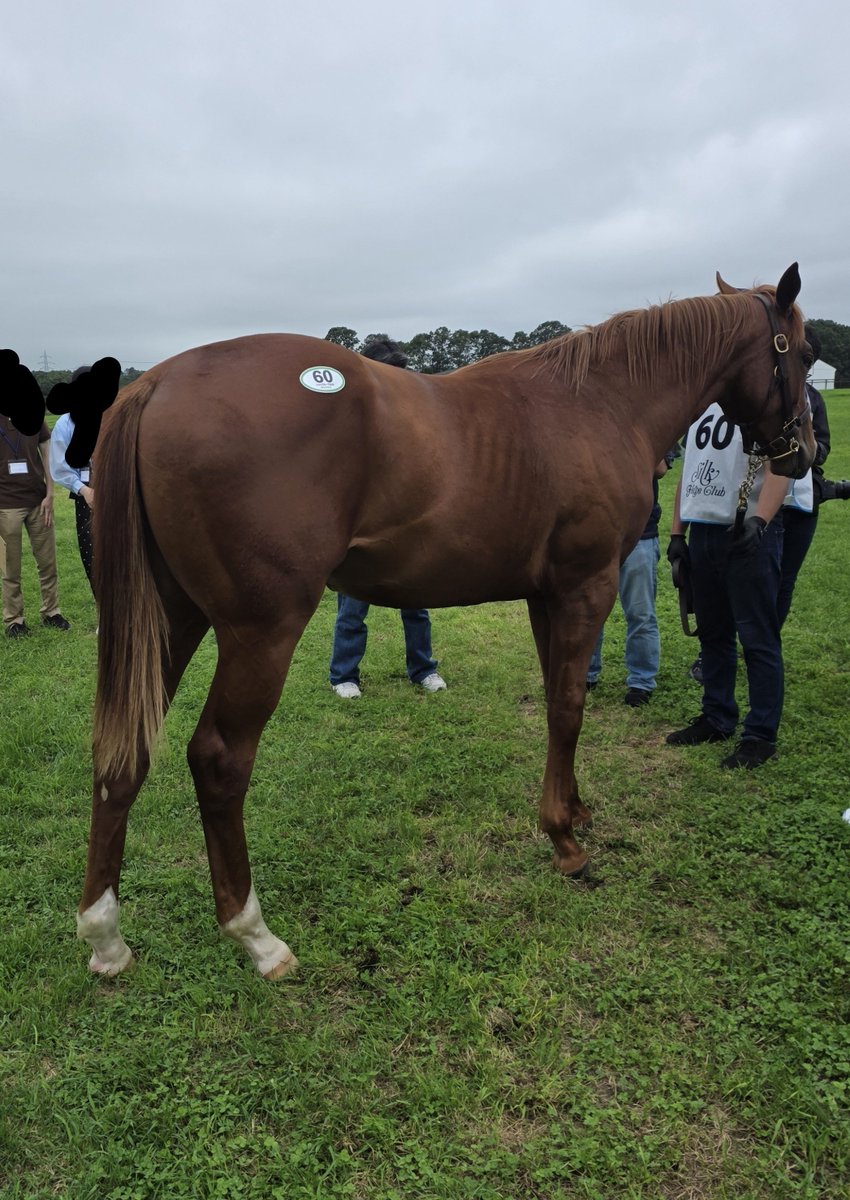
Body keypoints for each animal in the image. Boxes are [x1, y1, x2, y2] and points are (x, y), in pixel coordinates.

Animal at [77, 264, 816, 979]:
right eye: (805, 354)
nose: (804, 454)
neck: (601, 403)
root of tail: (159, 383)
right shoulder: (586, 588)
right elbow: (570, 707)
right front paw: (565, 840)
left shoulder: (547, 597)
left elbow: (559, 704)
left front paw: (573, 809)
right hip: (260, 632)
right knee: (219, 760)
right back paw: (255, 937)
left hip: (172, 621)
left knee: (124, 750)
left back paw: (106, 937)